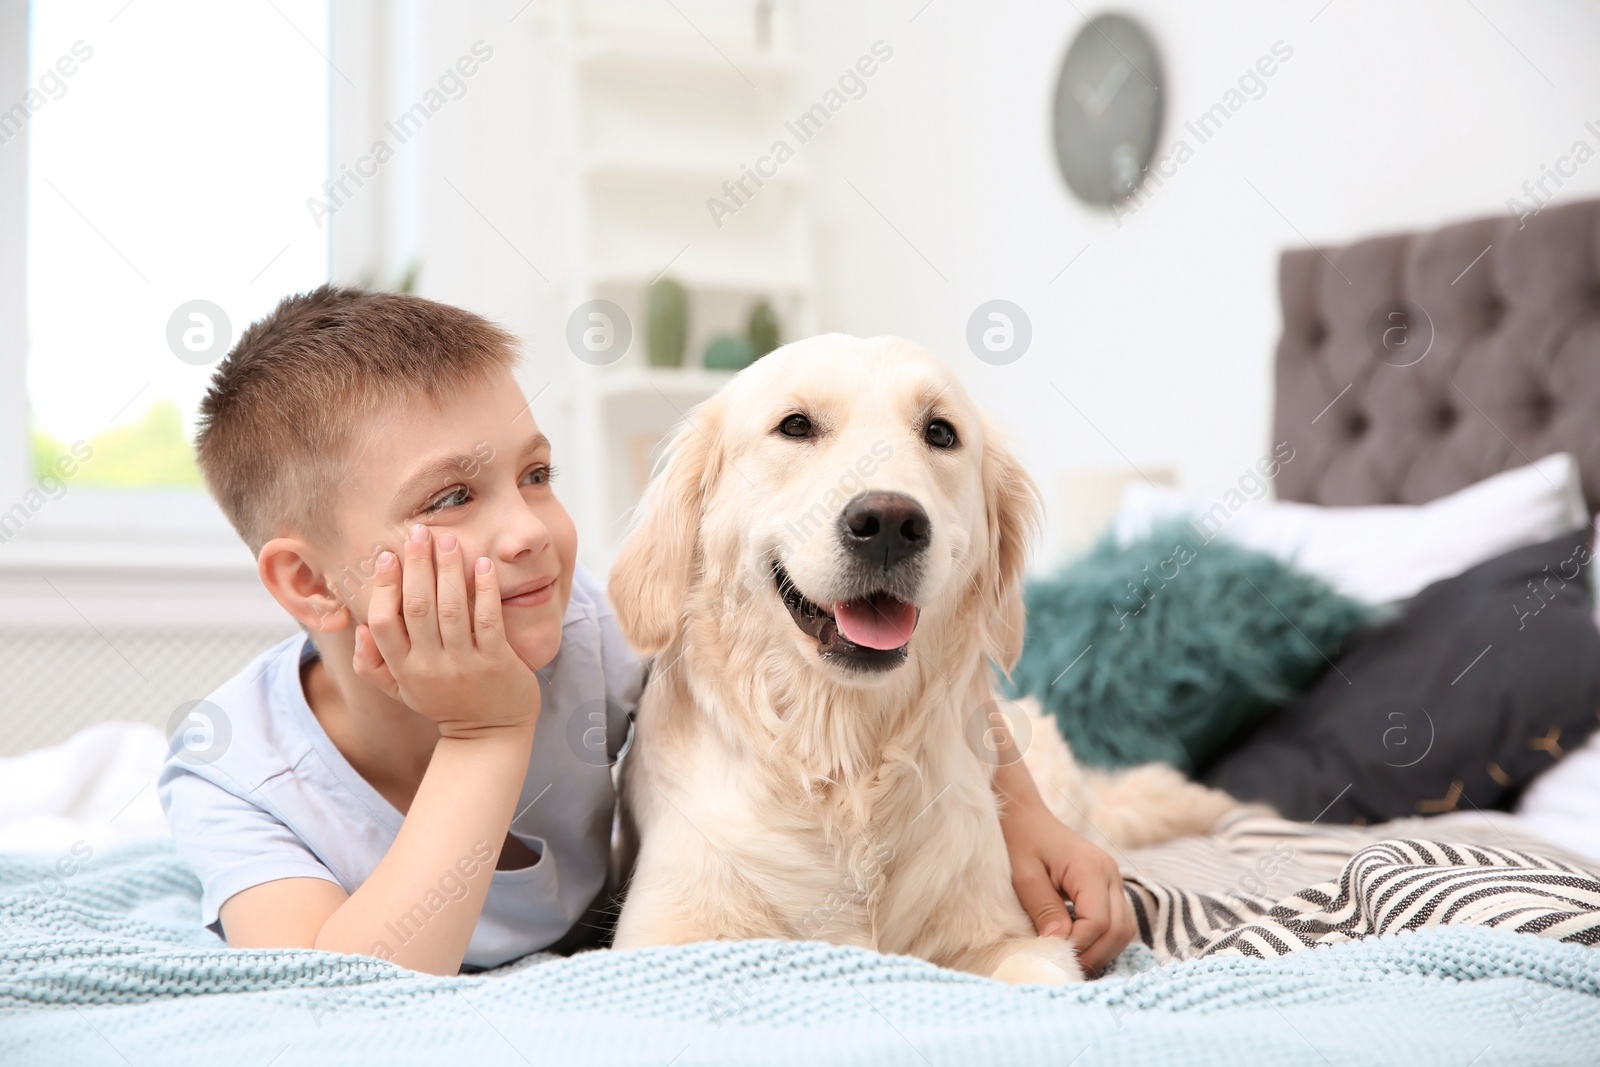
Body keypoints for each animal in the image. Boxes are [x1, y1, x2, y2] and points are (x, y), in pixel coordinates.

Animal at [604, 334, 1241, 985]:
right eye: (796, 426)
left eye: (940, 433)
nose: (888, 521)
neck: (848, 762)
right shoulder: (660, 941)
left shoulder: (1014, 935)